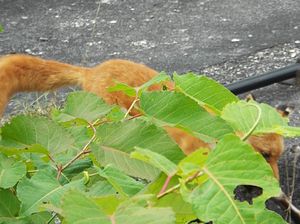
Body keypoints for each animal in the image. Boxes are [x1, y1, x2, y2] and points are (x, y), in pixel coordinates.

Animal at [0, 53, 284, 178]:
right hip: (108, 128)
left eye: (277, 157)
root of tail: (92, 70)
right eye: (264, 155)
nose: (278, 188)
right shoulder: (181, 159)